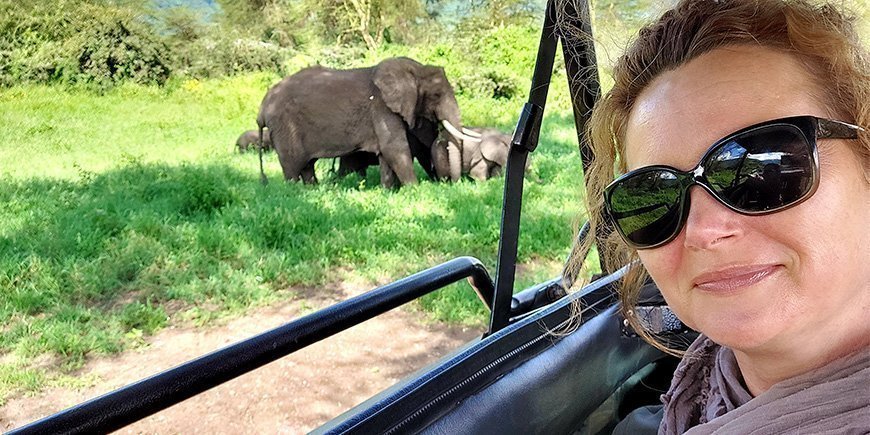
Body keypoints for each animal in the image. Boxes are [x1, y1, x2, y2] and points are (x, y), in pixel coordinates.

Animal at [255, 57, 480, 186]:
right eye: (436, 95)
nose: (453, 185)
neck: (415, 68)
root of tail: (262, 109)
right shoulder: (381, 107)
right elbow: (395, 148)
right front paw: (416, 189)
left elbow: (387, 153)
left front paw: (389, 191)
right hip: (284, 127)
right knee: (293, 168)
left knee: (307, 166)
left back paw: (314, 189)